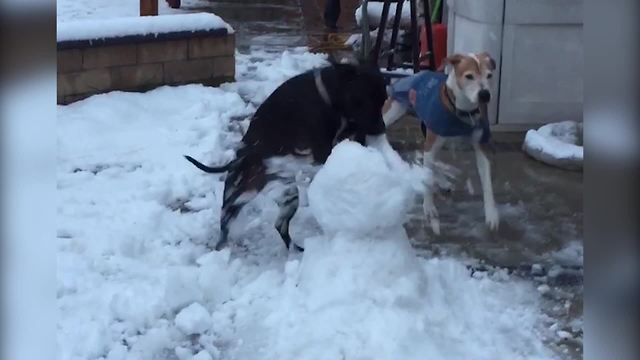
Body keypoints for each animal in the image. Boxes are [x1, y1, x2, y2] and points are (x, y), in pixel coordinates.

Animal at [185, 62, 384, 252]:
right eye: (365, 98)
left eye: (383, 101)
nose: (381, 128)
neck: (326, 94)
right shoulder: (321, 149)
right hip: (239, 196)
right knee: (228, 224)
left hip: (289, 197)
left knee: (279, 226)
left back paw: (296, 249)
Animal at [380, 52, 500, 233]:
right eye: (469, 76)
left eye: (489, 75)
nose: (484, 94)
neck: (462, 111)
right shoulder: (431, 144)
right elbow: (428, 180)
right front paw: (429, 208)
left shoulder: (481, 147)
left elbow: (487, 183)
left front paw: (491, 214)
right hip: (393, 111)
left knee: (428, 159)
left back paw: (442, 180)